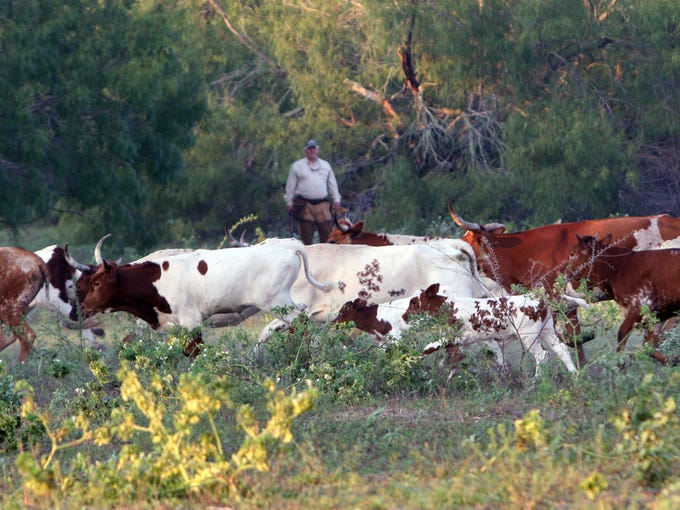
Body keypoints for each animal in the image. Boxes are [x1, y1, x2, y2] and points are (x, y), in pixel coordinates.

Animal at [332, 284, 576, 376]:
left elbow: (428, 348)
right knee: (562, 351)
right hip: (548, 331)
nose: (332, 323)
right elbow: (451, 359)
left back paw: (535, 382)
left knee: (542, 356)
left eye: (414, 301)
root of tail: (537, 296)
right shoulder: (461, 341)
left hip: (529, 336)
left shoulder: (451, 337)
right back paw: (575, 375)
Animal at [572, 233, 680, 364]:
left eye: (572, 254)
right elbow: (649, 344)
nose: (566, 272)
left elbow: (622, 334)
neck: (617, 270)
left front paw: (620, 364)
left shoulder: (639, 307)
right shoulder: (658, 313)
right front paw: (672, 360)